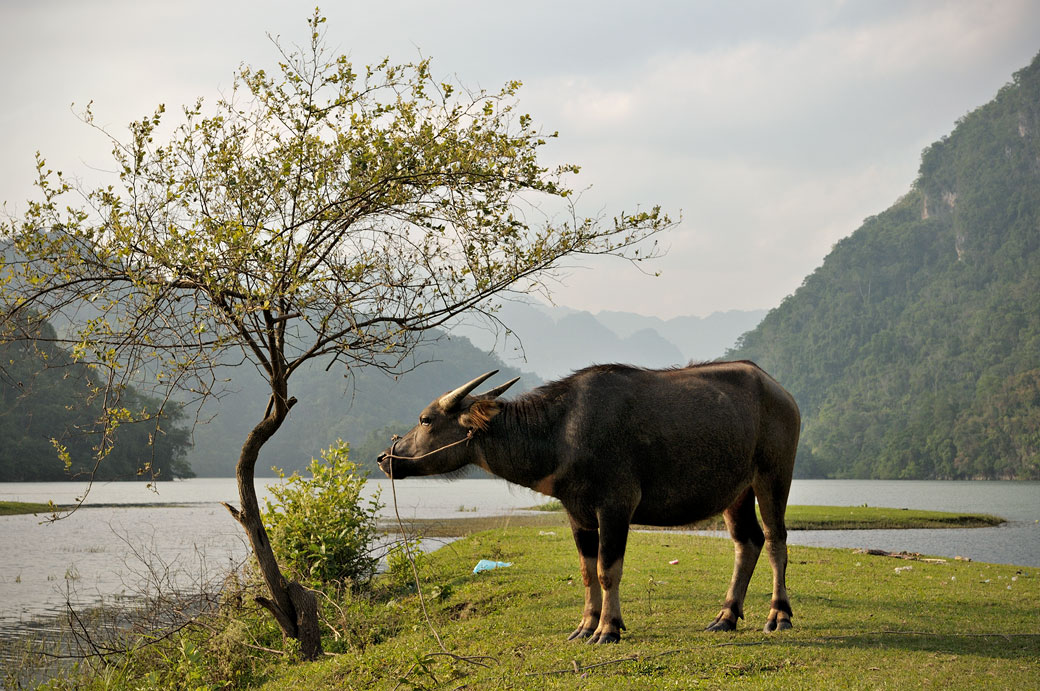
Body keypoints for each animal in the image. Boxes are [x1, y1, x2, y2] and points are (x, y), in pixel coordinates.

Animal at [378, 362, 798, 641]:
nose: (385, 458)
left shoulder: (615, 507)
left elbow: (607, 570)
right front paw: (585, 624)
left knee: (776, 541)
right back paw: (726, 616)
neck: (561, 431)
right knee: (747, 542)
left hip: (773, 476)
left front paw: (608, 628)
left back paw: (779, 615)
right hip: (737, 492)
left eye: (426, 419)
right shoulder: (576, 514)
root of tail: (778, 390)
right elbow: (586, 570)